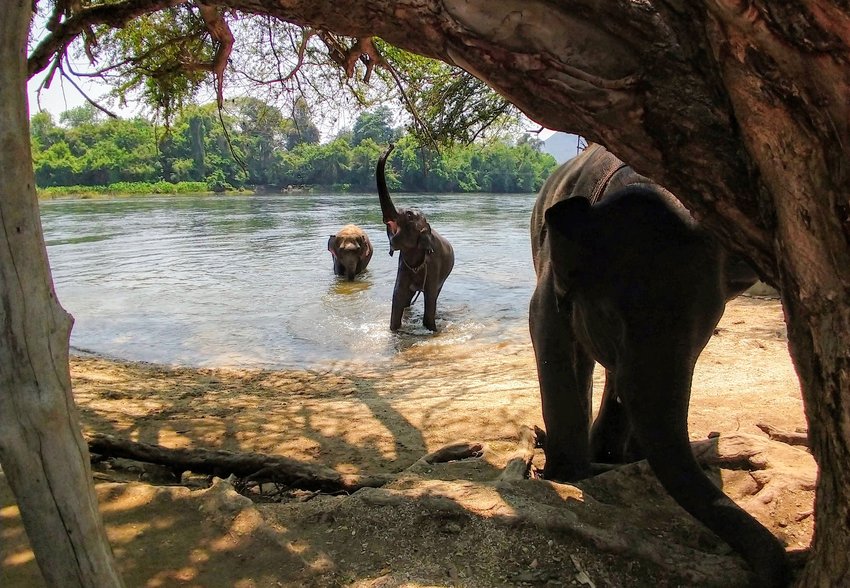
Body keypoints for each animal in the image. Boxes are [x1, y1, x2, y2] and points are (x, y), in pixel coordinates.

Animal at [376, 144, 454, 330]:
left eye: (409, 215)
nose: (392, 145)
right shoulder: (402, 265)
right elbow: (398, 296)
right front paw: (394, 330)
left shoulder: (434, 265)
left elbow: (430, 299)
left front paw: (432, 329)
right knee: (407, 300)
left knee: (435, 294)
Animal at [528, 144, 788, 588]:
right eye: (610, 319)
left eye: (706, 329)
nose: (780, 566)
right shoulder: (551, 274)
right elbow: (550, 336)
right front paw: (566, 476)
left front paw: (610, 461)